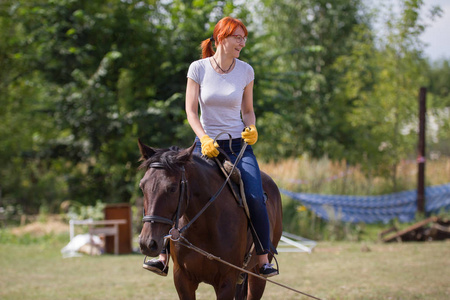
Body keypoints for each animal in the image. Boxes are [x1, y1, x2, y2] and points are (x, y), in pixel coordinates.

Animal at [139, 141, 284, 300]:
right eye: (142, 186)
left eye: (172, 188)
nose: (147, 243)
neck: (204, 226)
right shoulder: (182, 279)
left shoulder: (226, 281)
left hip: (257, 276)